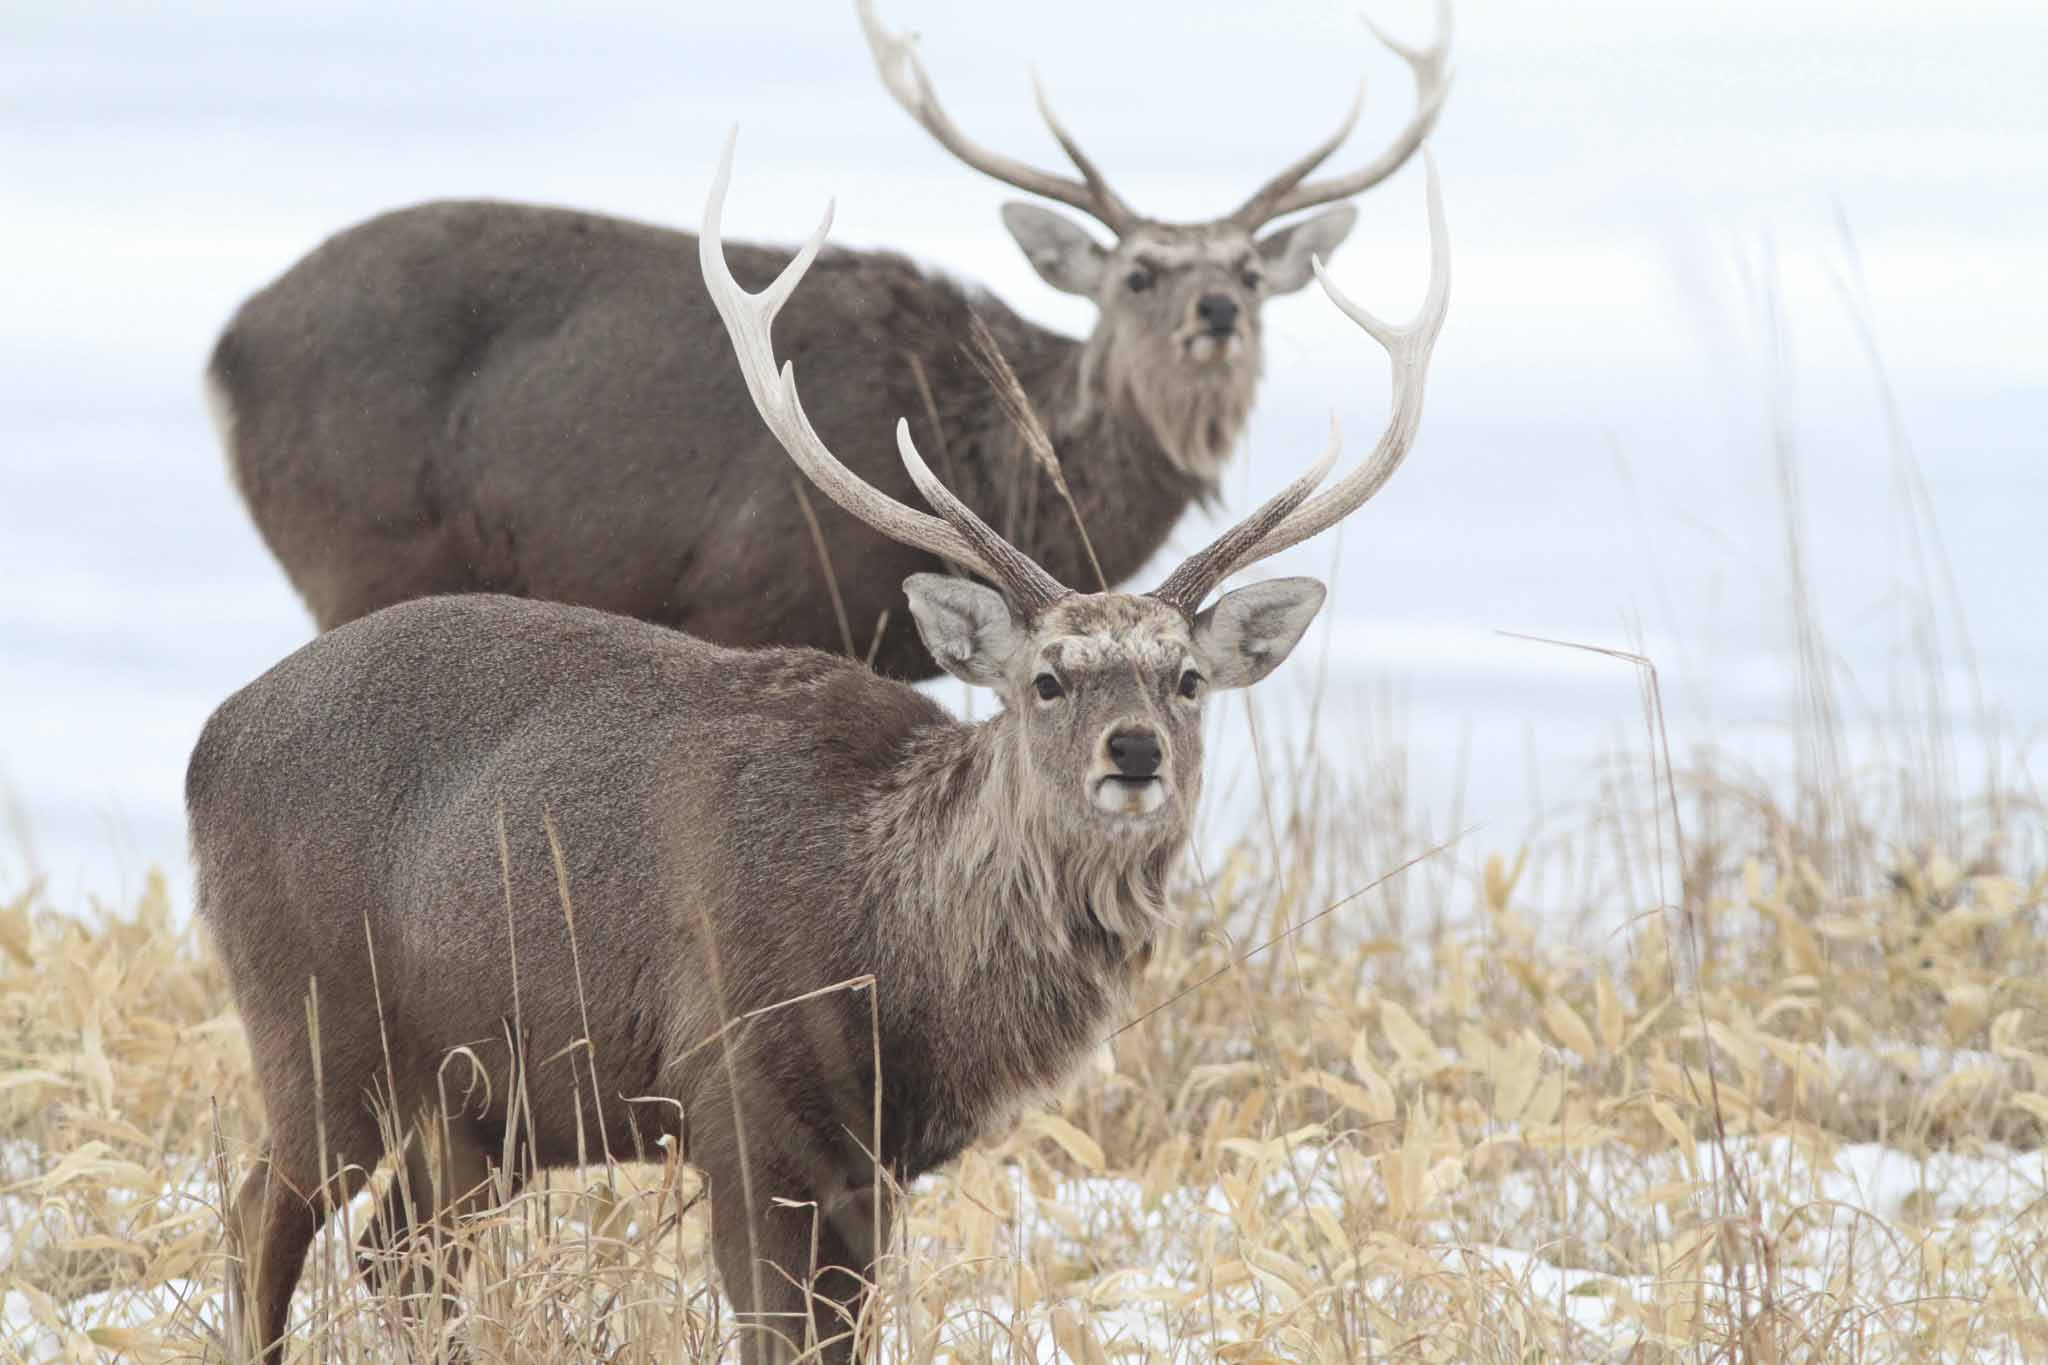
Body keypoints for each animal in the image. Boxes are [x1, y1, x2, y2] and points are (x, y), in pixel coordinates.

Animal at [187, 134, 1448, 1364]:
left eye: (1186, 680)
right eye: (1046, 679)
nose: (1132, 753)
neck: (901, 955)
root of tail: (208, 746)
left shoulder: (874, 1162)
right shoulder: (740, 1095)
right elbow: (772, 1332)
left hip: (483, 1102)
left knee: (401, 1251)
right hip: (316, 1021)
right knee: (262, 1217)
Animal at [203, 0, 1451, 680]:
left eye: (1246, 270)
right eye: (1137, 272)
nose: (1215, 312)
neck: (998, 450)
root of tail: (226, 346)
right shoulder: (756, 594)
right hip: (355, 541)